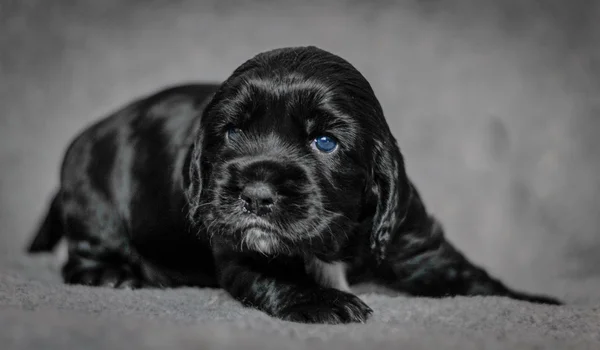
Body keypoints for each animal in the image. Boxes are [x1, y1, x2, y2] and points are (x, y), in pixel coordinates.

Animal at [27, 45, 564, 322]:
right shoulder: (241, 251)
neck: (336, 243)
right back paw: (116, 276)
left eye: (325, 142)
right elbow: (279, 276)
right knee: (83, 257)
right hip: (93, 198)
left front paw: (537, 302)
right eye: (232, 132)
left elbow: (472, 278)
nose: (255, 196)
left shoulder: (414, 241)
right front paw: (328, 303)